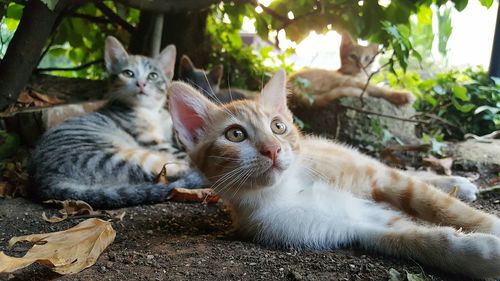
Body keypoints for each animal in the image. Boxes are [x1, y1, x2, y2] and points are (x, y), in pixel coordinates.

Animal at [28, 36, 204, 208]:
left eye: (153, 75)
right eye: (128, 73)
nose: (141, 84)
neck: (151, 111)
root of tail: (46, 178)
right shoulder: (151, 140)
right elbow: (181, 152)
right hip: (130, 158)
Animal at [169, 69, 500, 276]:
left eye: (278, 126)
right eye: (235, 135)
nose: (273, 149)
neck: (287, 188)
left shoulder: (378, 179)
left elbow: (440, 206)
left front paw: (488, 226)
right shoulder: (354, 223)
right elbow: (416, 239)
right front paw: (481, 254)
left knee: (409, 175)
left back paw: (457, 182)